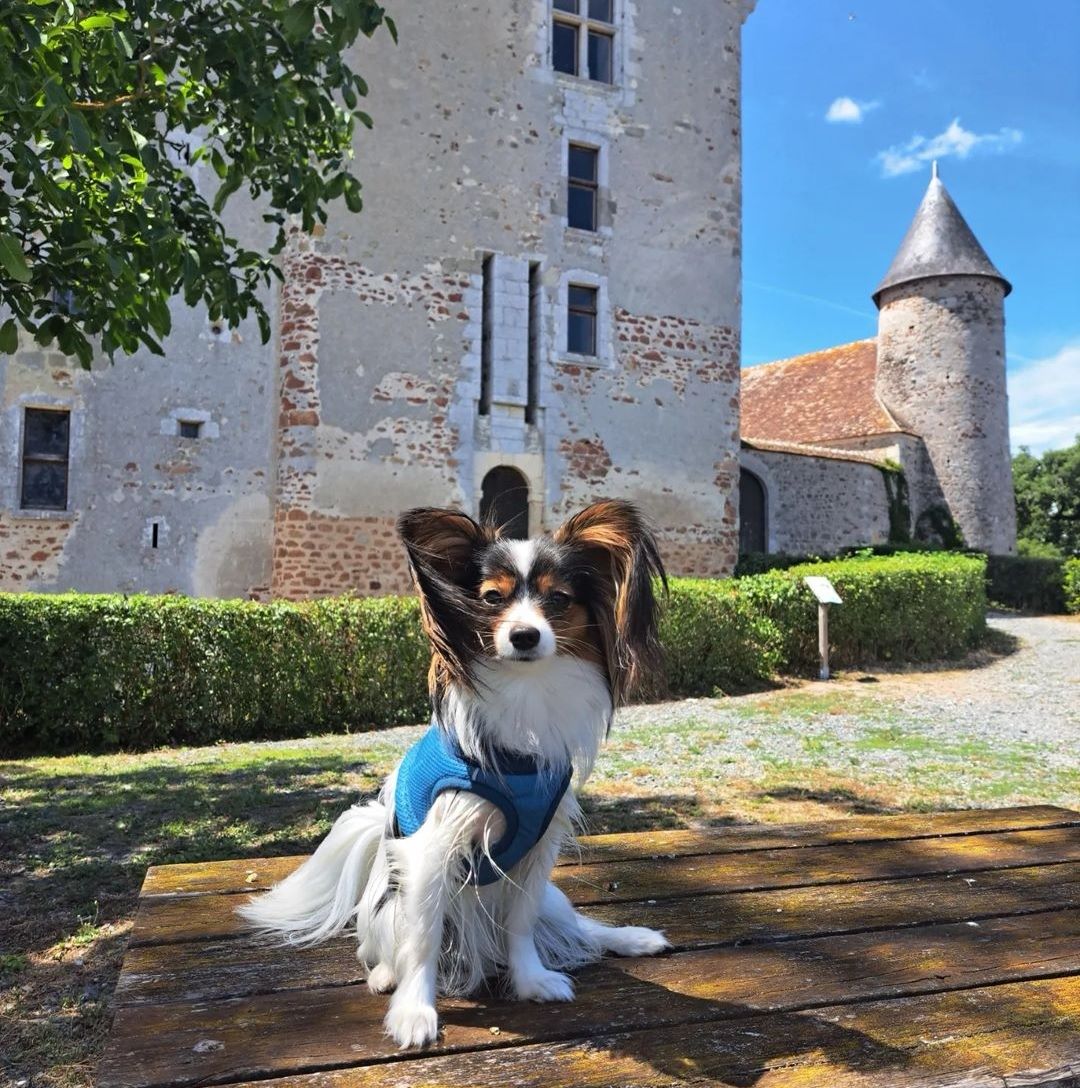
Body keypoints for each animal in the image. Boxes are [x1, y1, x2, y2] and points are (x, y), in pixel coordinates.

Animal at [240, 498, 669, 1044]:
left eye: (558, 599)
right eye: (491, 598)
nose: (524, 636)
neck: (526, 695)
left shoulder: (536, 852)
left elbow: (521, 925)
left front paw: (531, 981)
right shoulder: (433, 849)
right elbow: (422, 941)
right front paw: (414, 1013)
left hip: (553, 898)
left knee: (578, 927)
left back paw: (632, 937)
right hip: (387, 907)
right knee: (381, 947)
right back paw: (385, 976)